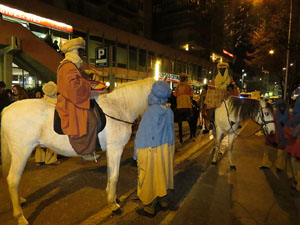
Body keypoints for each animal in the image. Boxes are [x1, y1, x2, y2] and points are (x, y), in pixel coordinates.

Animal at [0, 77, 155, 223]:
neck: (119, 108)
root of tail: (6, 110)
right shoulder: (115, 149)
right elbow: (114, 177)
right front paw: (113, 205)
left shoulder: (111, 151)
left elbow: (110, 175)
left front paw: (112, 199)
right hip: (21, 153)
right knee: (13, 180)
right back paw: (20, 217)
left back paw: (20, 200)